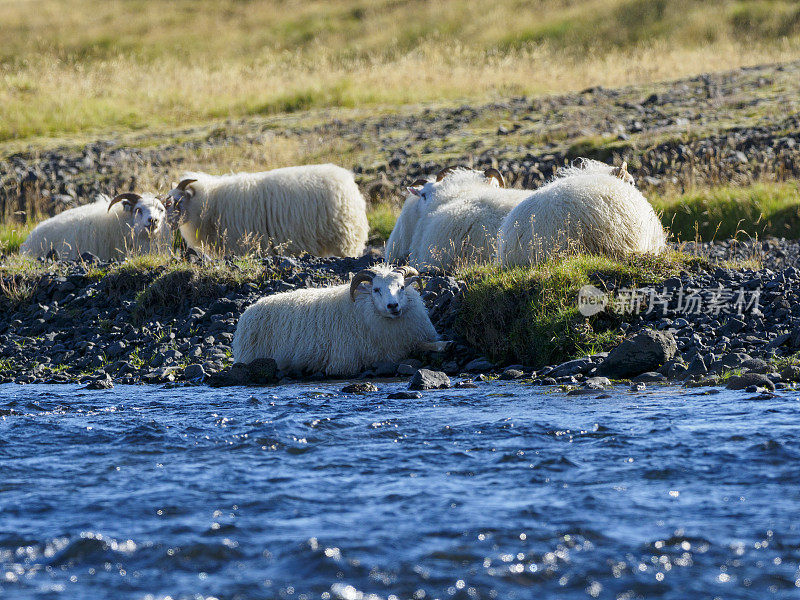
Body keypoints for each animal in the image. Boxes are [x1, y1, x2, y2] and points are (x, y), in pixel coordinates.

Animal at [233, 264, 450, 376]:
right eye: (376, 289)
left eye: (402, 287)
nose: (393, 306)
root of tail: (249, 309)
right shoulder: (354, 359)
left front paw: (444, 344)